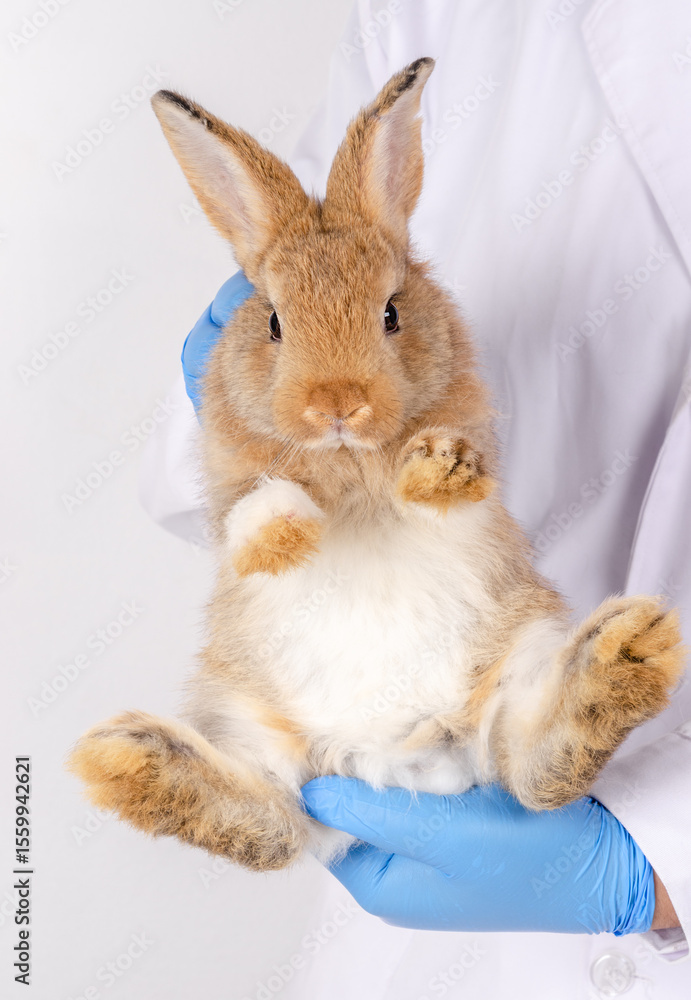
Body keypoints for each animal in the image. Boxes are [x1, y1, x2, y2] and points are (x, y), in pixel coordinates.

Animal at [67, 57, 686, 872]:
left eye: (390, 312)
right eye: (273, 321)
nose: (337, 403)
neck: (346, 464)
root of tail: (402, 763)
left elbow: (447, 482)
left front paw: (437, 467)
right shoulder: (229, 481)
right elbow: (249, 511)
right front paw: (285, 533)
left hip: (519, 658)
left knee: (533, 769)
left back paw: (623, 652)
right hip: (247, 722)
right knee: (271, 824)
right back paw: (128, 760)